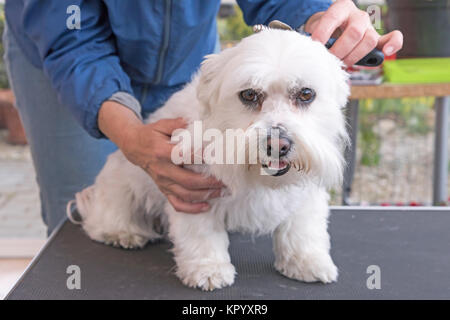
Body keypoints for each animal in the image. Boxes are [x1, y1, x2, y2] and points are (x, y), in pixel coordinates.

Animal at [72, 29, 350, 290]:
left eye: (306, 94)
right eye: (249, 95)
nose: (277, 144)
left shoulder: (307, 192)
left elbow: (302, 230)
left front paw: (307, 262)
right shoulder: (191, 190)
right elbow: (201, 234)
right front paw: (207, 269)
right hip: (122, 183)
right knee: (103, 217)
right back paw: (122, 232)